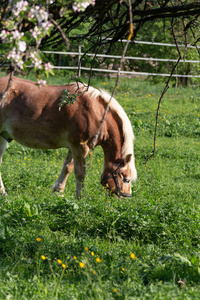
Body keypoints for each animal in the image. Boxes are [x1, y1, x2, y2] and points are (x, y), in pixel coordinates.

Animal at [0, 77, 137, 199]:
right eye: (126, 179)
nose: (126, 197)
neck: (96, 112)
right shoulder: (80, 147)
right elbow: (80, 173)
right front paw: (81, 197)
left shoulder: (73, 147)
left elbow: (68, 168)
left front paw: (58, 191)